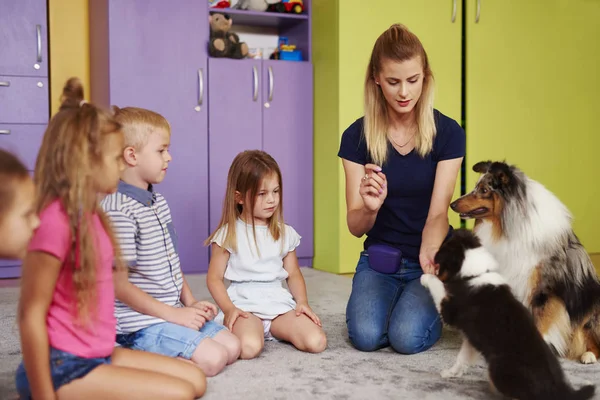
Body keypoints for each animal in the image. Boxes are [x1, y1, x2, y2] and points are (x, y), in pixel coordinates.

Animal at [422, 228, 596, 400]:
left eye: (440, 263)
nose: (431, 262)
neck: (477, 273)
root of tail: (558, 390)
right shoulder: (472, 338)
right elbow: (462, 357)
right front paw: (451, 373)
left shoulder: (450, 310)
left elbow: (438, 286)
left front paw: (424, 277)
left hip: (498, 369)